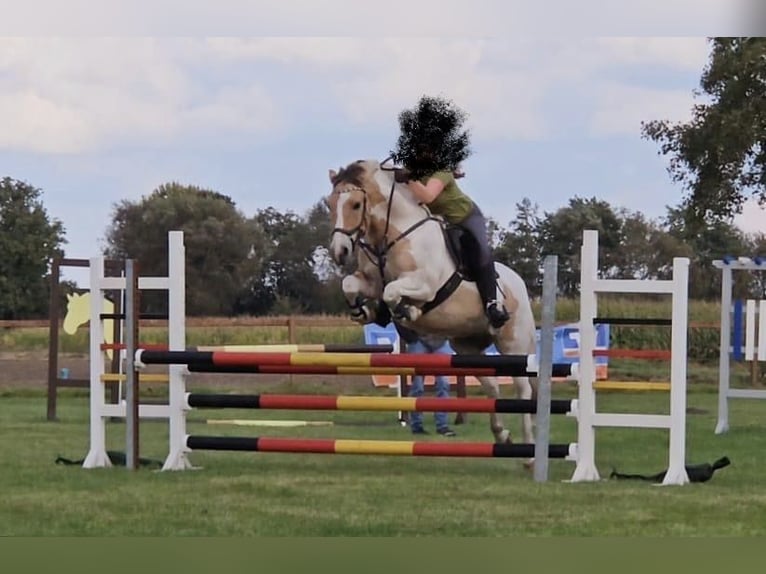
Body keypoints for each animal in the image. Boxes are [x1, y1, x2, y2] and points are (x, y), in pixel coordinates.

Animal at [325, 158, 538, 456]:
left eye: (356, 204)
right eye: (330, 204)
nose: (340, 251)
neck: (394, 234)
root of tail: (519, 283)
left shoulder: (424, 285)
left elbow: (392, 292)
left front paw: (409, 312)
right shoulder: (370, 282)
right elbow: (350, 284)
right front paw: (365, 312)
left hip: (513, 343)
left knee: (523, 389)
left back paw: (529, 451)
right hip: (468, 348)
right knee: (493, 387)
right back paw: (502, 435)